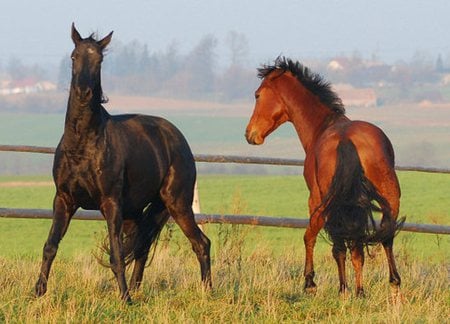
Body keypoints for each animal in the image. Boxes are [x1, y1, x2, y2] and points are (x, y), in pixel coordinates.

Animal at [34, 24, 211, 304]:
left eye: (99, 60)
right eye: (74, 56)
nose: (83, 92)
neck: (83, 145)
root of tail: (177, 139)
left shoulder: (110, 203)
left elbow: (116, 254)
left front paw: (124, 299)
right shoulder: (63, 199)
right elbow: (50, 246)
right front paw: (38, 292)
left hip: (177, 203)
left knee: (201, 243)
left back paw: (207, 292)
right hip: (136, 210)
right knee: (142, 247)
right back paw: (138, 290)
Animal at [246, 57, 404, 296]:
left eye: (257, 95)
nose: (250, 134)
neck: (323, 126)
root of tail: (347, 140)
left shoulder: (314, 199)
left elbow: (310, 237)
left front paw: (310, 282)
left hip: (330, 203)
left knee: (342, 245)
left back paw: (346, 289)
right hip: (389, 197)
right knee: (383, 237)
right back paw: (385, 284)